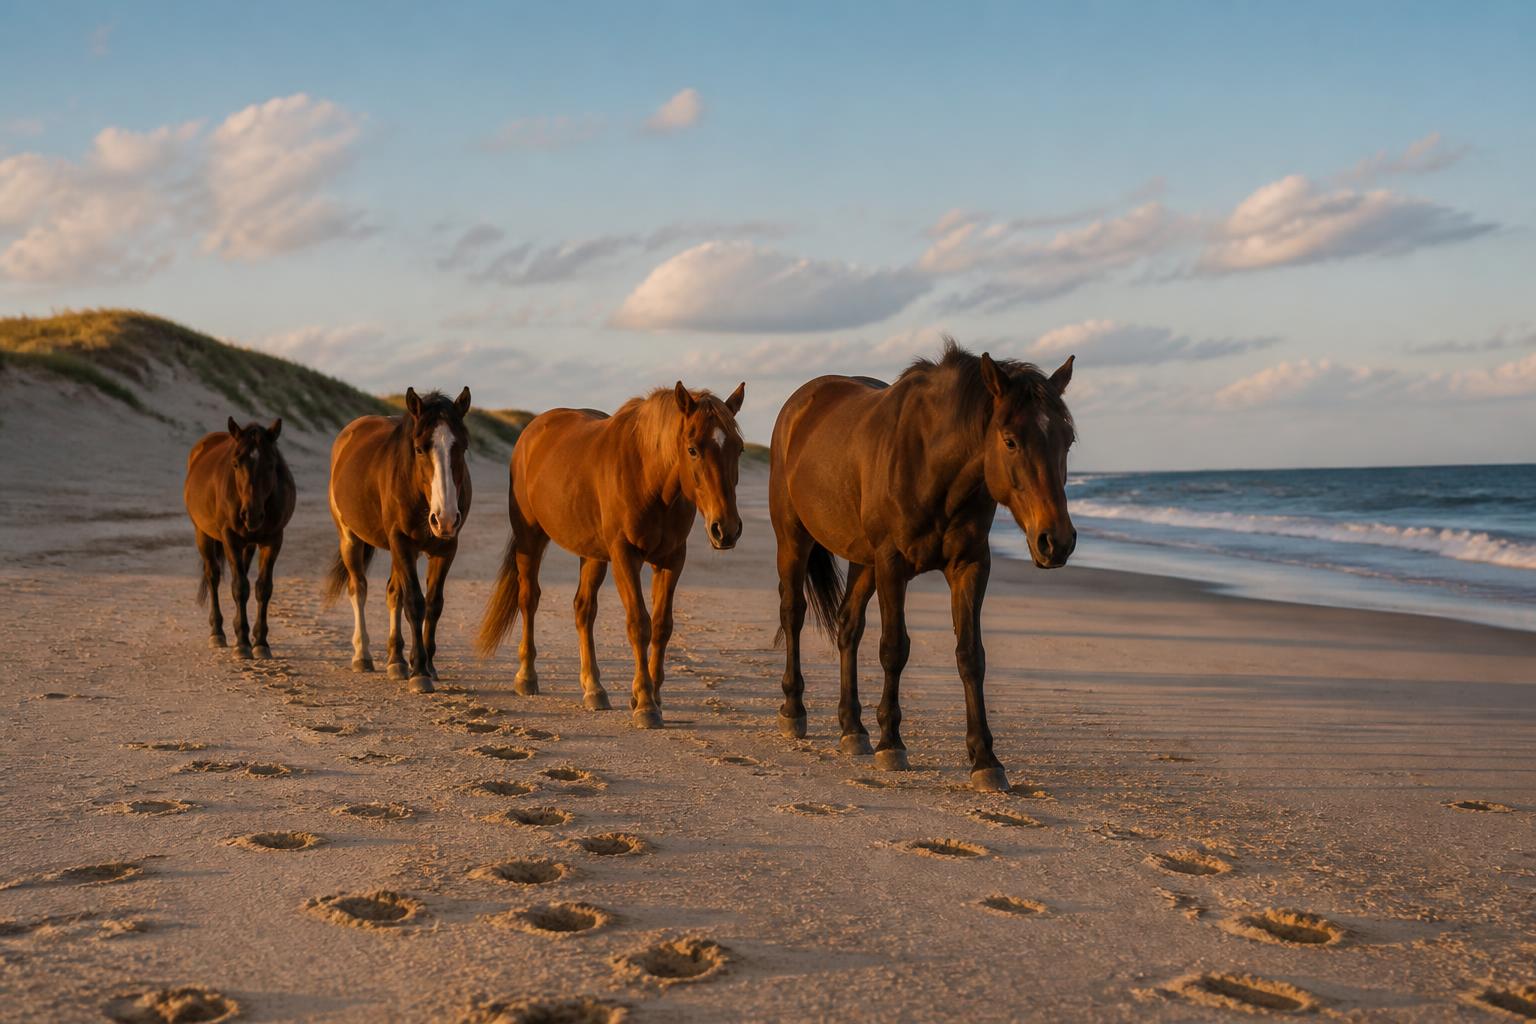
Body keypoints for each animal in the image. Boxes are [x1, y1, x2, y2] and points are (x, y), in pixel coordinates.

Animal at [184, 418, 297, 659]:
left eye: (271, 465)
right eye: (235, 464)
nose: (251, 515)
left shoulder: (273, 540)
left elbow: (263, 588)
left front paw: (260, 642)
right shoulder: (231, 538)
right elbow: (239, 587)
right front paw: (243, 643)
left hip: (248, 545)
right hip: (203, 535)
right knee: (213, 576)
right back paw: (217, 632)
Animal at [324, 387, 472, 694]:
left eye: (462, 448)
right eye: (419, 449)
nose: (445, 518)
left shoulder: (445, 548)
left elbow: (433, 604)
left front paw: (425, 664)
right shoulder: (401, 542)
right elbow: (414, 603)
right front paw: (420, 672)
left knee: (393, 594)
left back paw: (396, 660)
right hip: (350, 539)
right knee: (359, 588)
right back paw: (363, 655)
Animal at [477, 382, 746, 729]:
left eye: (738, 449)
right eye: (692, 449)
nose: (726, 529)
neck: (648, 476)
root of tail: (531, 432)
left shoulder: (672, 559)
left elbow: (662, 626)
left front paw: (653, 696)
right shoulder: (624, 556)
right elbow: (639, 624)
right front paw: (645, 703)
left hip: (592, 555)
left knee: (583, 610)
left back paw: (594, 689)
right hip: (530, 539)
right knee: (529, 599)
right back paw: (527, 676)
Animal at [769, 340, 1076, 792]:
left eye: (1067, 440)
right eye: (1010, 441)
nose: (1056, 541)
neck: (932, 464)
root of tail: (799, 403)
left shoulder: (970, 566)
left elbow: (971, 656)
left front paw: (985, 759)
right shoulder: (892, 564)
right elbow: (894, 648)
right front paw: (892, 744)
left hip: (863, 561)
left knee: (848, 626)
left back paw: (852, 728)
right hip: (794, 539)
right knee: (793, 614)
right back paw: (794, 711)